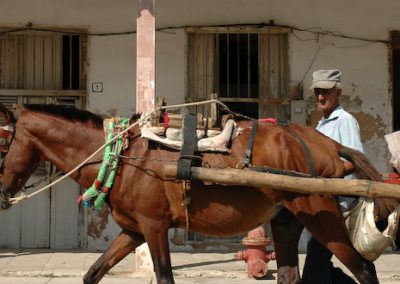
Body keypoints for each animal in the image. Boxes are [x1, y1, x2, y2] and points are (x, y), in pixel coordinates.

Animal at [0, 102, 394, 284]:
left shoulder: (155, 227)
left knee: (364, 269)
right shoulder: (134, 230)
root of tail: (326, 143)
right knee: (289, 274)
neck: (122, 157)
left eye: (2, 142)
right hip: (287, 220)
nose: (2, 194)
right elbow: (93, 273)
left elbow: (164, 276)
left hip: (319, 212)